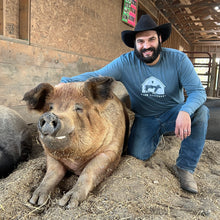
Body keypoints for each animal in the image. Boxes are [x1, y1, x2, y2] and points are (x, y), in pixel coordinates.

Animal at [23, 77, 131, 208]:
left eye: (78, 108)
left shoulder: (111, 151)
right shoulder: (50, 155)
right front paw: (35, 201)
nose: (49, 116)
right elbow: (51, 174)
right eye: (50, 107)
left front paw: (67, 204)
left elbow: (88, 171)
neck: (75, 160)